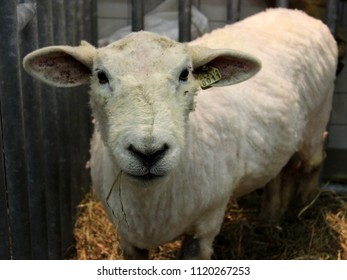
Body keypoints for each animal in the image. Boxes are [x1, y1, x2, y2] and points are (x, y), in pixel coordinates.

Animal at [22, 7, 338, 260]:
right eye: (101, 76)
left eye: (185, 74)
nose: (149, 152)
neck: (150, 200)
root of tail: (296, 13)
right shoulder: (128, 238)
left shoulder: (205, 226)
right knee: (280, 170)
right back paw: (270, 218)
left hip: (318, 116)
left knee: (314, 159)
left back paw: (305, 206)